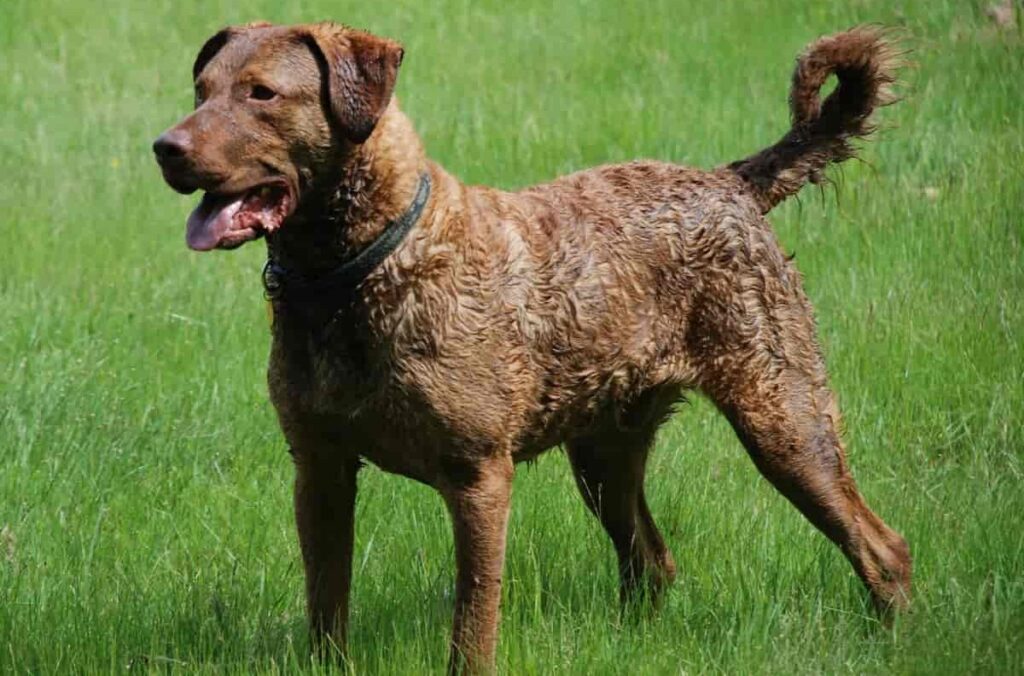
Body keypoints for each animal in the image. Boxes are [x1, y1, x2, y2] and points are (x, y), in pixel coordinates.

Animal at [153, 19, 913, 671]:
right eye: (201, 89)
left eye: (262, 93)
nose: (165, 147)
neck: (357, 274)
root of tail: (732, 183)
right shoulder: (319, 466)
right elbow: (326, 605)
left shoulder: (478, 475)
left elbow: (472, 620)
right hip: (605, 452)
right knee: (651, 561)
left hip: (783, 416)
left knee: (884, 547)